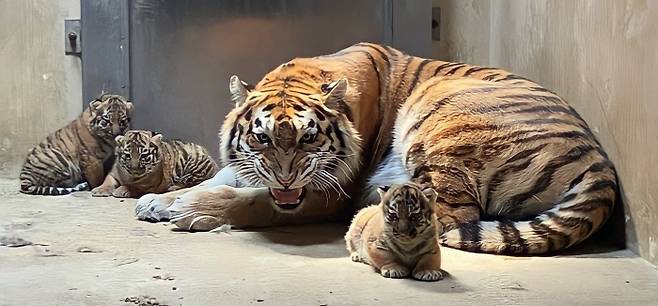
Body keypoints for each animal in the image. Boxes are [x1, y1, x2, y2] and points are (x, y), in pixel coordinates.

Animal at [135, 41, 616, 255]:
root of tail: (599, 159)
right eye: (262, 137)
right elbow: (228, 177)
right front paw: (160, 200)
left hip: (441, 112)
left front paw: (194, 210)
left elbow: (253, 201)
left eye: (309, 137)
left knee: (450, 216)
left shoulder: (326, 193)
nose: (286, 178)